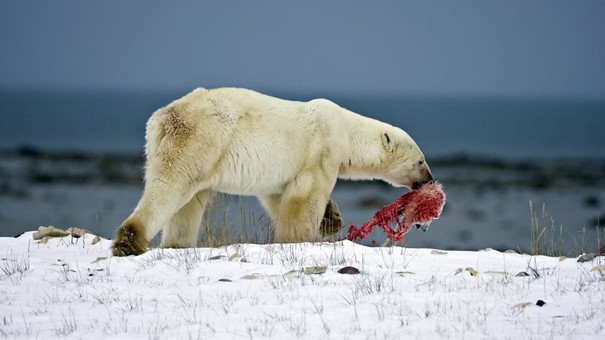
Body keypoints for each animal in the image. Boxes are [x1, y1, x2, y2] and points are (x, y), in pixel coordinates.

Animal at [112, 87, 434, 255]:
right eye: (420, 161)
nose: (429, 179)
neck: (346, 130)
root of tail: (162, 118)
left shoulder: (283, 170)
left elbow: (278, 196)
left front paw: (331, 218)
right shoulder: (321, 148)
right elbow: (305, 197)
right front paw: (299, 239)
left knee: (188, 203)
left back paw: (177, 244)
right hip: (202, 139)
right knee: (171, 186)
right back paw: (130, 241)